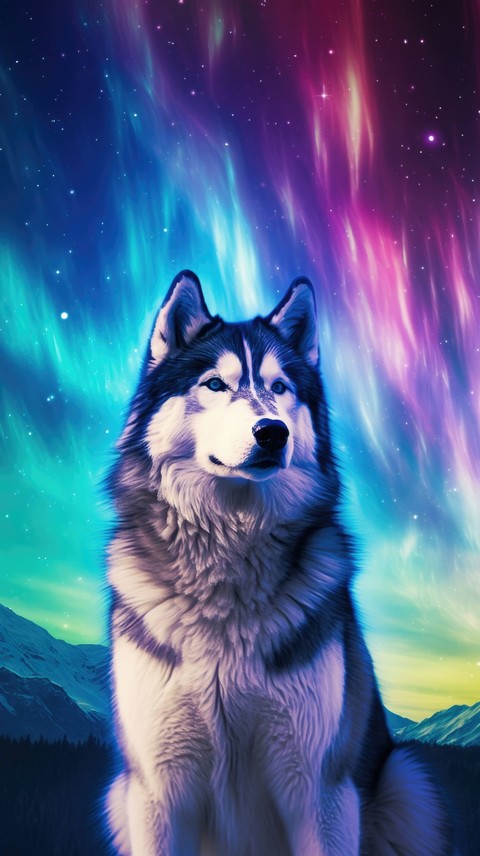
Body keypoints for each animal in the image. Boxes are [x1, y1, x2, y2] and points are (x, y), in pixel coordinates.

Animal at [106, 270, 451, 855]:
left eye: (281, 387)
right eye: (215, 385)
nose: (273, 432)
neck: (229, 558)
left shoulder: (321, 790)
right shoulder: (156, 791)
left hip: (405, 784)